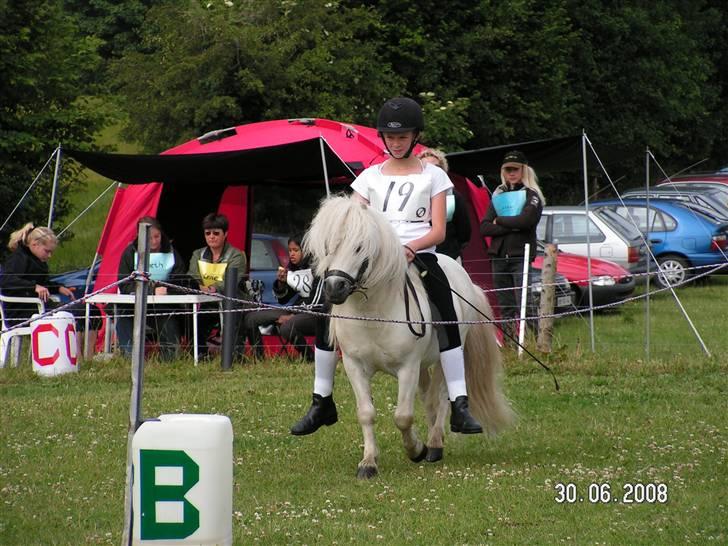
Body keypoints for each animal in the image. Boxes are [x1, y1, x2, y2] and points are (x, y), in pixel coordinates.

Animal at [304, 194, 516, 476]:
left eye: (360, 247)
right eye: (329, 245)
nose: (334, 288)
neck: (374, 313)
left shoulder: (408, 367)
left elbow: (403, 416)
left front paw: (416, 450)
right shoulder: (354, 365)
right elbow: (366, 413)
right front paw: (368, 462)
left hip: (445, 354)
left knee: (443, 396)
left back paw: (435, 444)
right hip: (423, 366)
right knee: (429, 398)